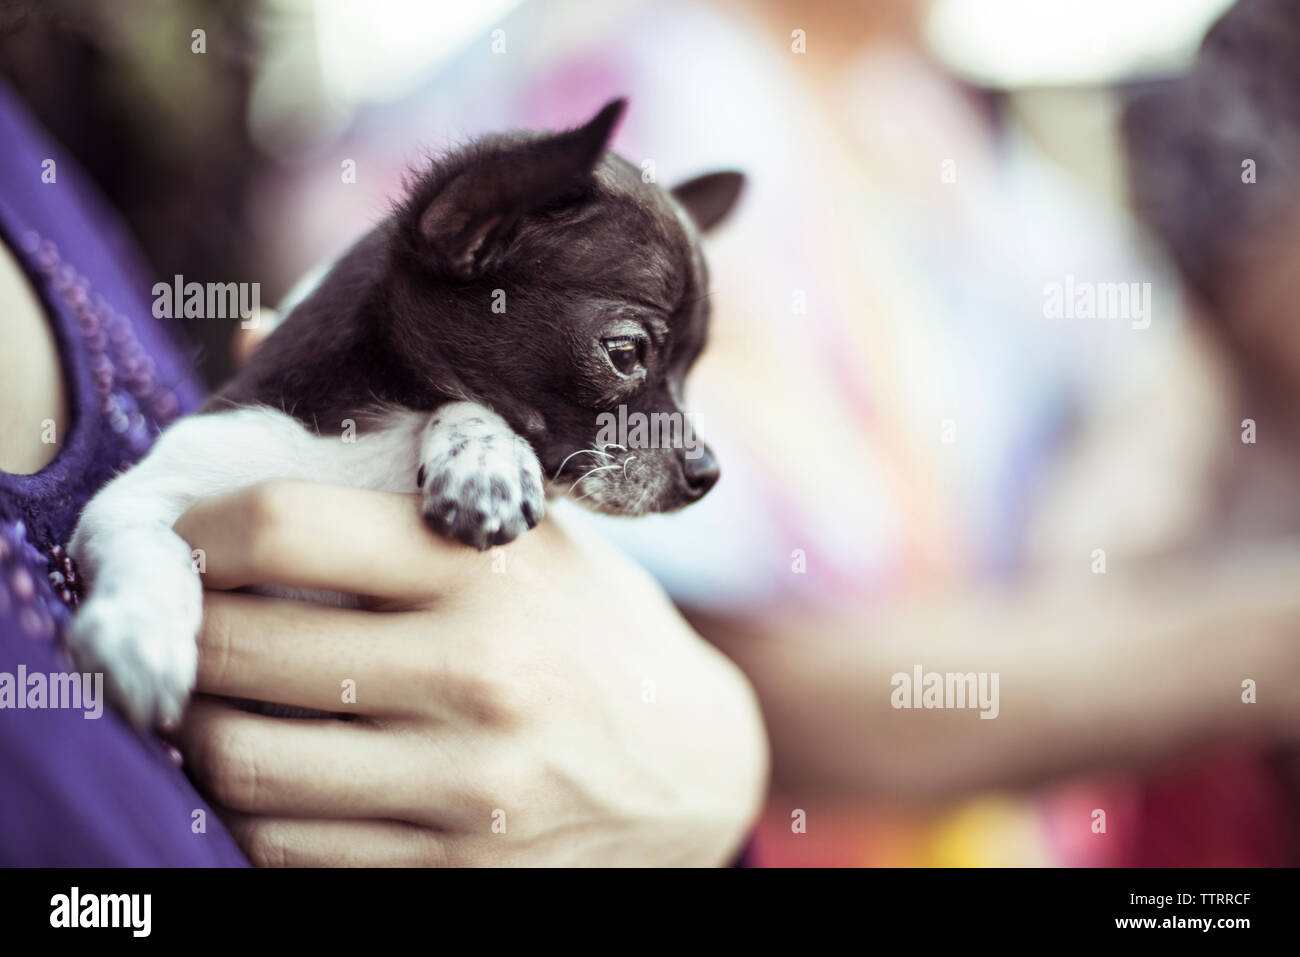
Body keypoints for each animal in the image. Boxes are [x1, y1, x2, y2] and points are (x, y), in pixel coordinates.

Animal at [65, 98, 748, 722]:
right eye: (625, 352)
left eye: (692, 370)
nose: (708, 474)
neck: (374, 439)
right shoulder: (147, 490)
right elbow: (152, 547)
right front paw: (139, 634)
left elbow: (461, 403)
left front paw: (484, 463)